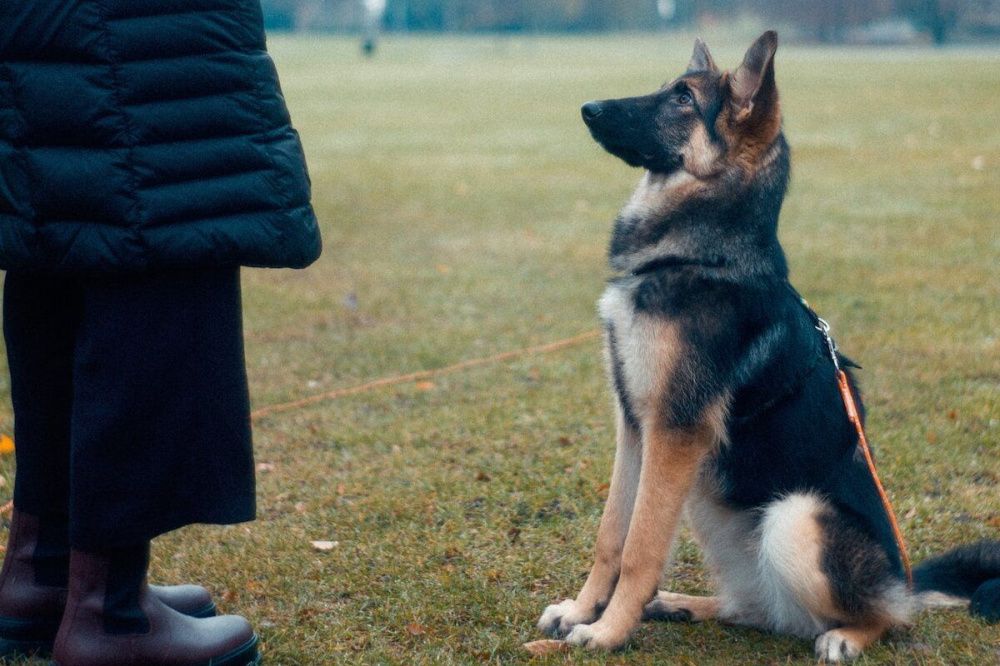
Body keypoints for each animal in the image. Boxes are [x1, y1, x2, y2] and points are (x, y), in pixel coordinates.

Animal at [540, 31, 1000, 660]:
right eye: (667, 89)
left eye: (683, 99)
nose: (588, 109)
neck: (699, 255)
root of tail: (901, 580)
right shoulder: (636, 426)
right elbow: (612, 534)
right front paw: (581, 611)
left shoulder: (674, 432)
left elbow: (639, 549)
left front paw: (607, 632)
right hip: (711, 499)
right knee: (758, 609)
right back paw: (685, 604)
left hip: (793, 516)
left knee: (887, 617)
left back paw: (848, 635)